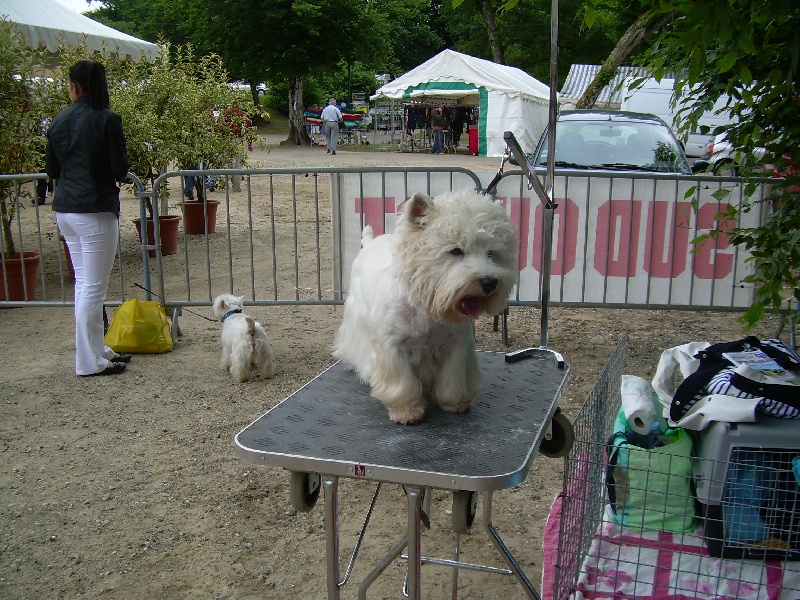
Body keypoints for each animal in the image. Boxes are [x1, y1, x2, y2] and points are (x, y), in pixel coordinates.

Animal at [332, 190, 520, 424]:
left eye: (492, 252)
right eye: (455, 251)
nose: (489, 282)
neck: (427, 306)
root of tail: (370, 242)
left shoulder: (456, 344)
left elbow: (453, 380)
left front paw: (456, 403)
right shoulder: (393, 347)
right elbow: (403, 384)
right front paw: (407, 411)